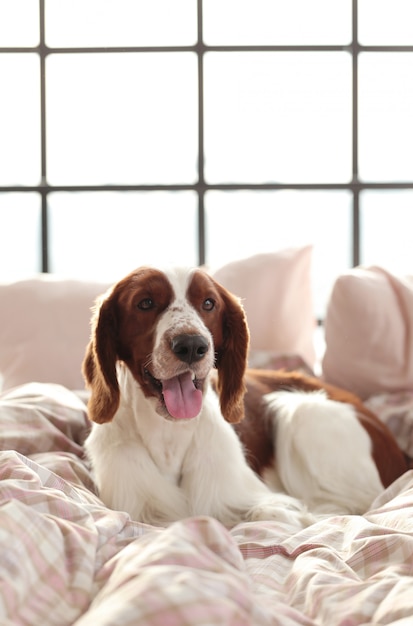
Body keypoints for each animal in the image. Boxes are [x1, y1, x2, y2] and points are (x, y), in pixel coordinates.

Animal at [82, 266, 408, 524]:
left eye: (209, 303)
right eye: (145, 303)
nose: (191, 345)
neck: (169, 436)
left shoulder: (250, 498)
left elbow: (279, 512)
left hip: (300, 410)